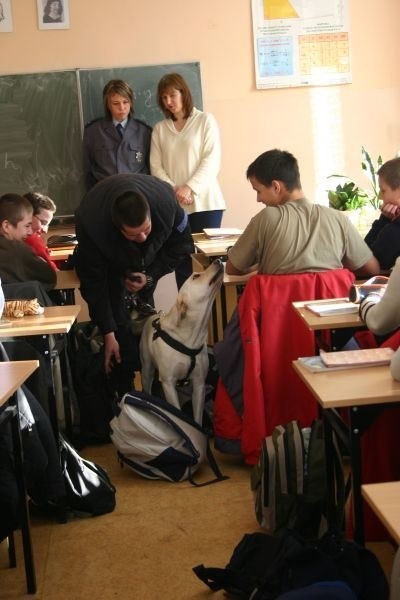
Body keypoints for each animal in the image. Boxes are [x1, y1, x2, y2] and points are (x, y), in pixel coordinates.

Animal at [139, 260, 223, 424]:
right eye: (196, 276)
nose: (217, 260)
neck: (189, 338)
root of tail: (151, 315)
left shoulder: (199, 384)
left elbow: (197, 418)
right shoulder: (168, 384)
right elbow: (177, 412)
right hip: (146, 370)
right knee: (147, 387)